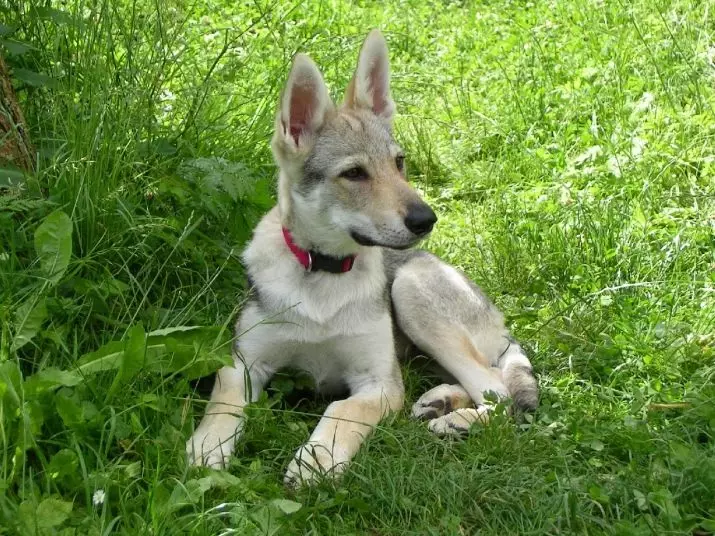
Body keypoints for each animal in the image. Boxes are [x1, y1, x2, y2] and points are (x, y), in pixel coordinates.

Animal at [185, 28, 536, 486]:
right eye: (353, 174)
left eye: (399, 162)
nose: (426, 219)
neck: (324, 274)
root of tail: (497, 317)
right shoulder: (242, 364)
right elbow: (222, 406)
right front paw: (206, 449)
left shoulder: (378, 383)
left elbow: (343, 411)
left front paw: (317, 459)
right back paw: (441, 401)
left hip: (410, 292)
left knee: (499, 390)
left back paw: (456, 420)